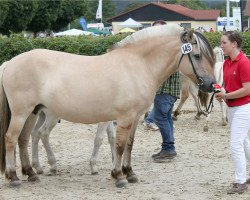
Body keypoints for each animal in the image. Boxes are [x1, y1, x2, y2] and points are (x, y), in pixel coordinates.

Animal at [0, 24, 215, 188]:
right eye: (197, 56)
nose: (211, 85)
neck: (138, 65)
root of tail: (10, 62)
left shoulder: (135, 117)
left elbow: (129, 145)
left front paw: (130, 173)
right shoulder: (124, 118)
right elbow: (119, 146)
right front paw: (119, 176)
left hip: (32, 113)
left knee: (24, 139)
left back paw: (31, 173)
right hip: (21, 113)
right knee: (11, 138)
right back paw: (13, 177)